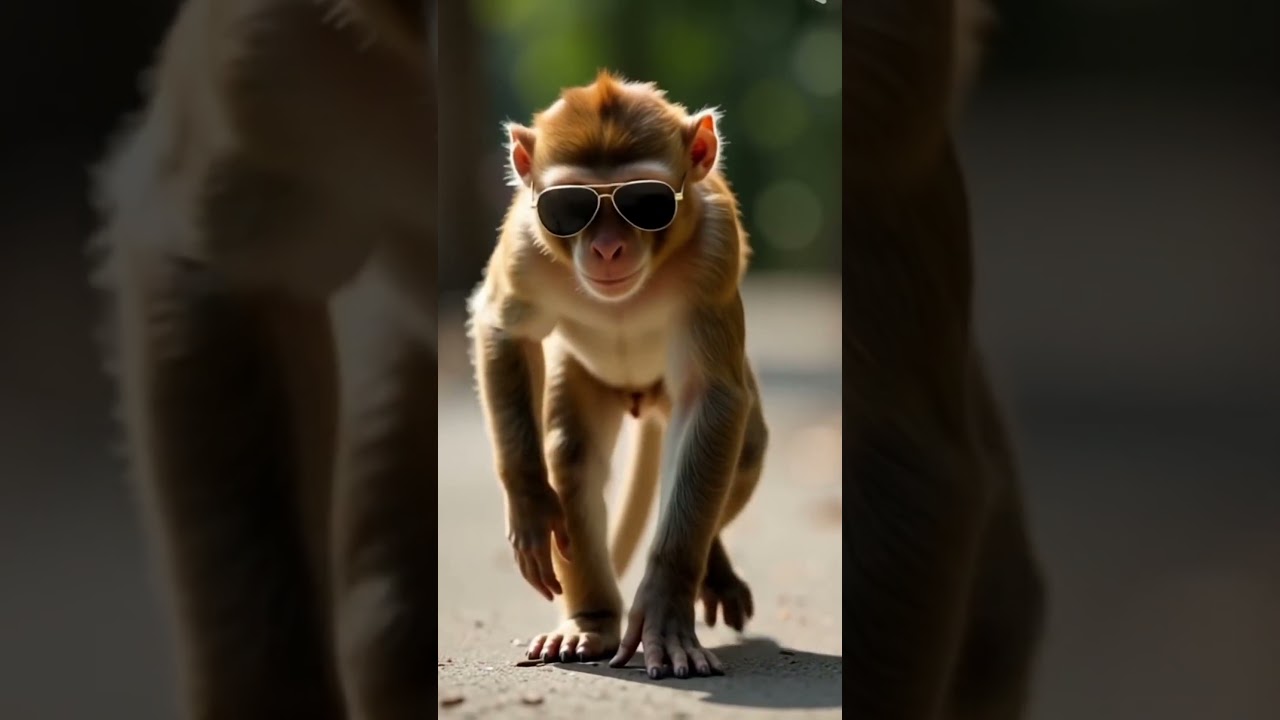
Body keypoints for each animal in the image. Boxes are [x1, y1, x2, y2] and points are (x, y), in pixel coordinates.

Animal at [467, 70, 769, 681]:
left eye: (645, 201)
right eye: (568, 206)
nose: (608, 246)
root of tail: (641, 398)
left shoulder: (714, 253)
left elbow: (712, 398)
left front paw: (666, 610)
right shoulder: (524, 244)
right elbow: (505, 329)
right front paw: (531, 504)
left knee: (742, 448)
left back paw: (712, 563)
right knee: (572, 455)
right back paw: (590, 623)